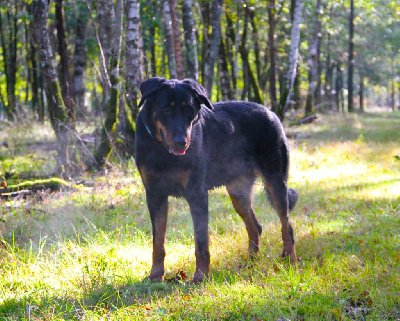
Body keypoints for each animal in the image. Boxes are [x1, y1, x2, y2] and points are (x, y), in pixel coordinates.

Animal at [136, 77, 298, 282]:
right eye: (165, 109)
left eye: (189, 110)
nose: (181, 142)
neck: (163, 153)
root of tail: (271, 112)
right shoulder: (155, 195)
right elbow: (158, 241)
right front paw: (156, 275)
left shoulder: (197, 194)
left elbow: (201, 241)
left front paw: (200, 276)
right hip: (238, 192)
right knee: (255, 227)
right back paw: (250, 263)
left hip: (275, 180)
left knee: (286, 225)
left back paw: (290, 260)